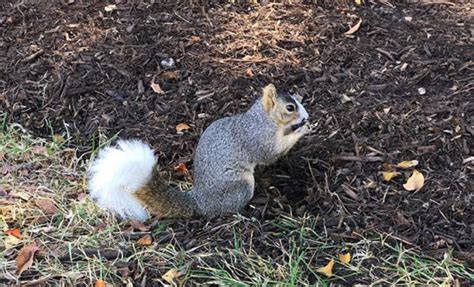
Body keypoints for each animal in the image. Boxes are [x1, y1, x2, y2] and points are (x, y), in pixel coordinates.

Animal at [89, 84, 312, 223]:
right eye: (290, 107)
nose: (306, 116)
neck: (265, 119)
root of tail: (200, 201)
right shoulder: (258, 139)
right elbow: (270, 154)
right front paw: (302, 130)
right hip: (240, 186)